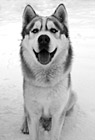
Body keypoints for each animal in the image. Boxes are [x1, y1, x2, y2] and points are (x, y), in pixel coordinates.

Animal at [19, 3, 76, 140]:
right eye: (35, 30)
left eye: (53, 30)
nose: (43, 38)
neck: (45, 80)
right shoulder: (33, 113)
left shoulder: (58, 112)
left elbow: (55, 132)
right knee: (25, 112)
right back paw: (25, 125)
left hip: (72, 97)